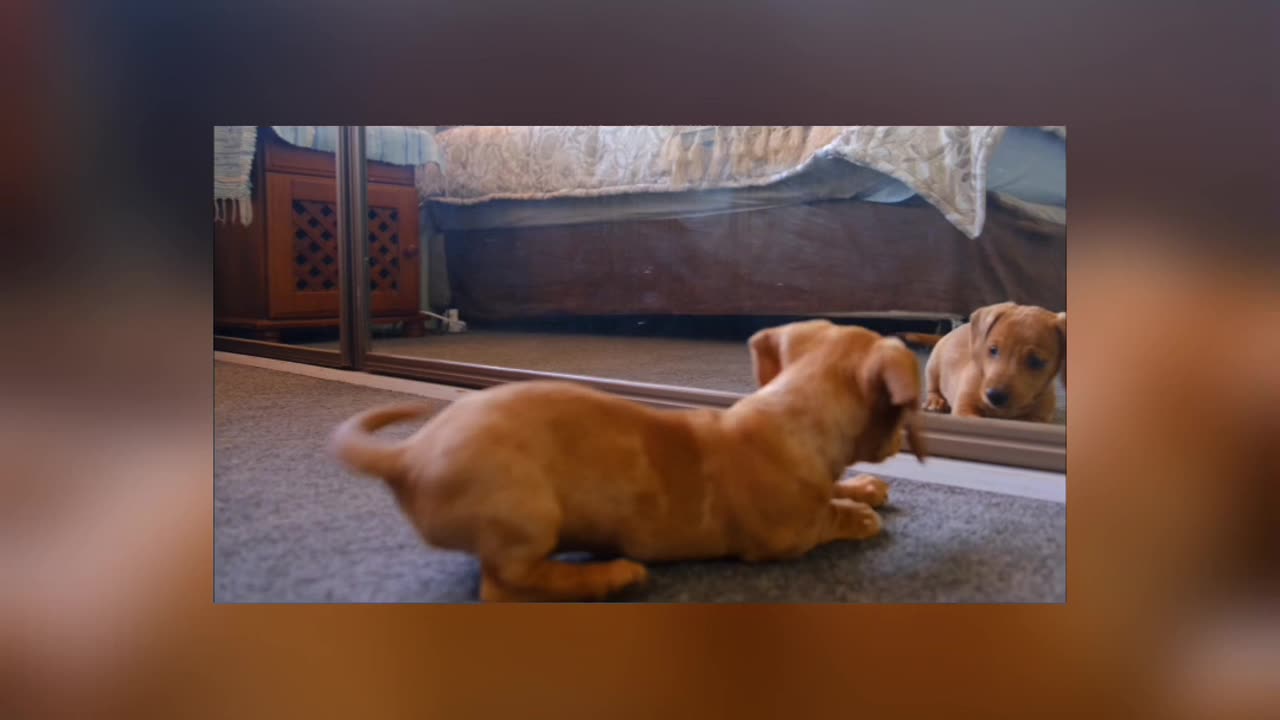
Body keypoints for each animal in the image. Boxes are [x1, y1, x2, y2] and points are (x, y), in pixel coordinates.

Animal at [327, 319, 931, 599]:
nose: (894, 448)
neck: (790, 413)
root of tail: (408, 456)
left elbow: (836, 485)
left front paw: (861, 487)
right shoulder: (786, 537)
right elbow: (825, 517)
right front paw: (858, 514)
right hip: (528, 518)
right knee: (506, 588)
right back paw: (609, 576)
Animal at [901, 301, 1070, 422]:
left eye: (1036, 361)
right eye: (993, 350)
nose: (995, 396)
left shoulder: (1037, 419)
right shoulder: (964, 408)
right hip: (933, 367)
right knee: (933, 387)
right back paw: (934, 401)